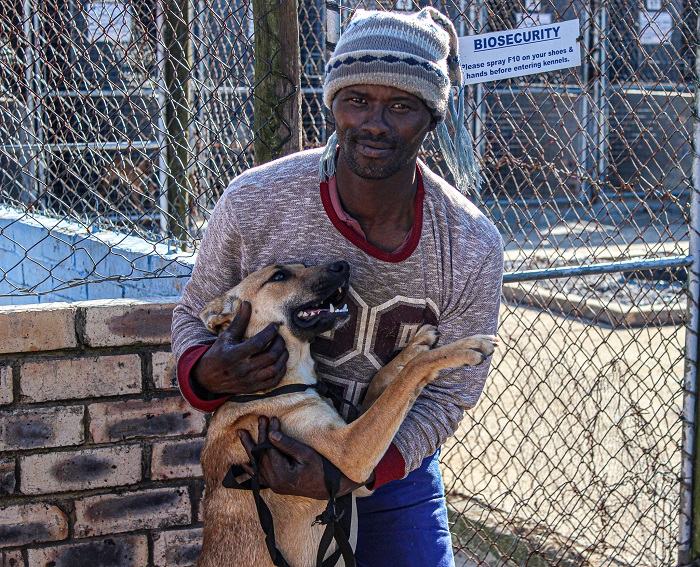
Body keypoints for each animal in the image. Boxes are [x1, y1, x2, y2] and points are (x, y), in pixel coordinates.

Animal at [194, 262, 494, 567]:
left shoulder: (353, 473)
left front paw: (415, 346)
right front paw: (461, 348)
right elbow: (408, 376)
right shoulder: (348, 453)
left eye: (304, 265)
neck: (277, 385)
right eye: (279, 276)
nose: (341, 266)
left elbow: (386, 380)